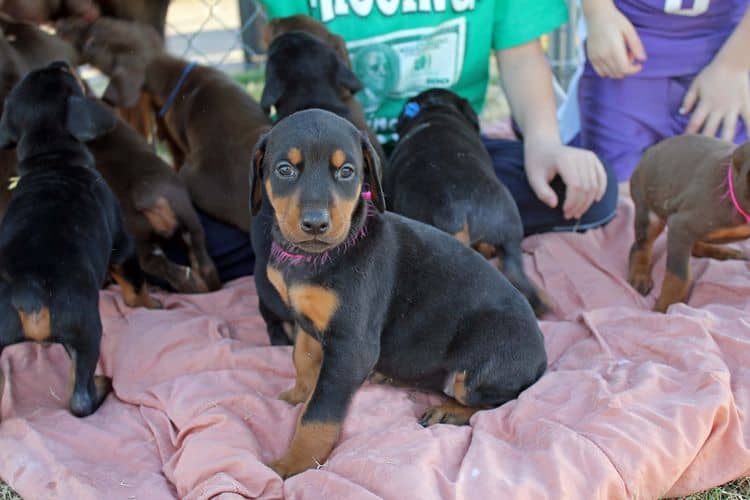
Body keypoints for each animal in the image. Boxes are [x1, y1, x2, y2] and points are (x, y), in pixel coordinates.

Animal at [0, 64, 162, 420]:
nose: (60, 61)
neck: (51, 160)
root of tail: (27, 290)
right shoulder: (122, 246)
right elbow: (135, 286)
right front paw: (151, 305)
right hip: (86, 329)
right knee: (79, 400)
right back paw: (102, 386)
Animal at [628, 133, 750, 312]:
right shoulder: (681, 226)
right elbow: (679, 275)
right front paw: (665, 307)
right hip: (648, 210)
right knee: (640, 246)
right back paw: (639, 275)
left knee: (696, 247)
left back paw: (724, 252)